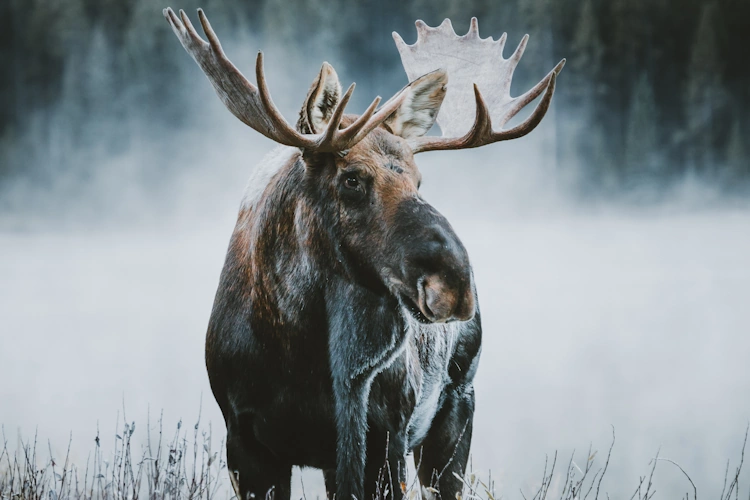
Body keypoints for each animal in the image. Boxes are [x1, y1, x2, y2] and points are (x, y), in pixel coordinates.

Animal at [164, 8, 564, 500]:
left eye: (418, 179)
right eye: (351, 179)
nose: (454, 284)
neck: (298, 350)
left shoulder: (383, 433)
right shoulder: (244, 439)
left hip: (456, 408)